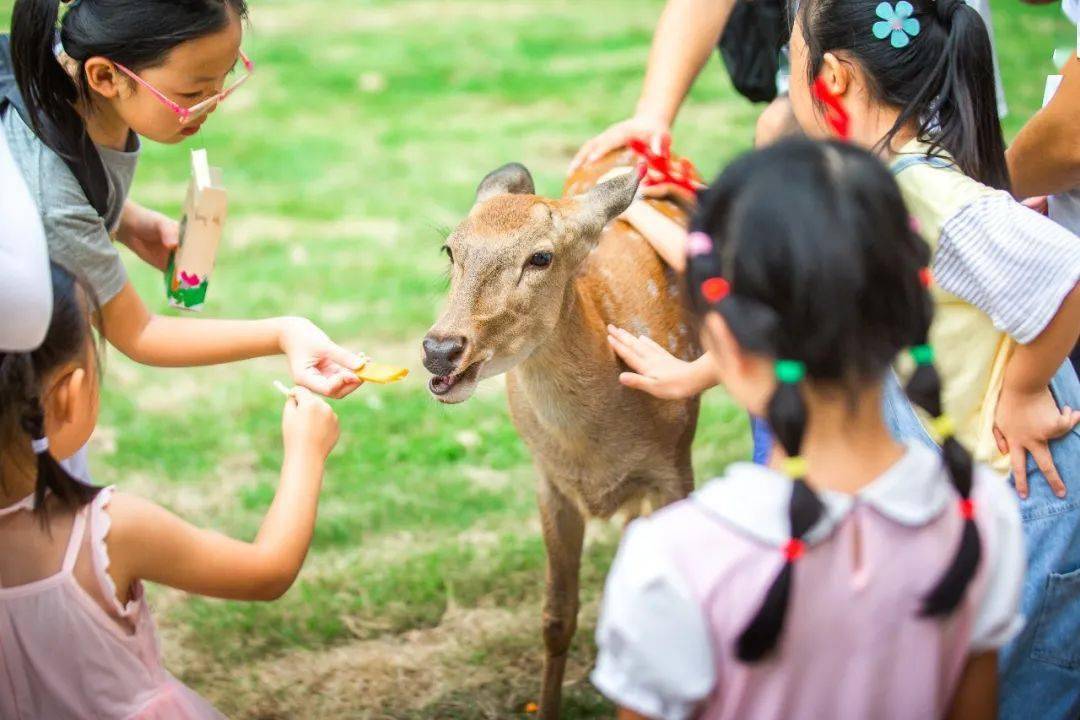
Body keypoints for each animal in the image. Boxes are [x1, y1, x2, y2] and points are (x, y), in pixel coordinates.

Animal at [416, 148, 704, 716]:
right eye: (450, 249)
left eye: (541, 258)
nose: (440, 349)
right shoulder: (549, 482)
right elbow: (555, 618)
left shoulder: (675, 469)